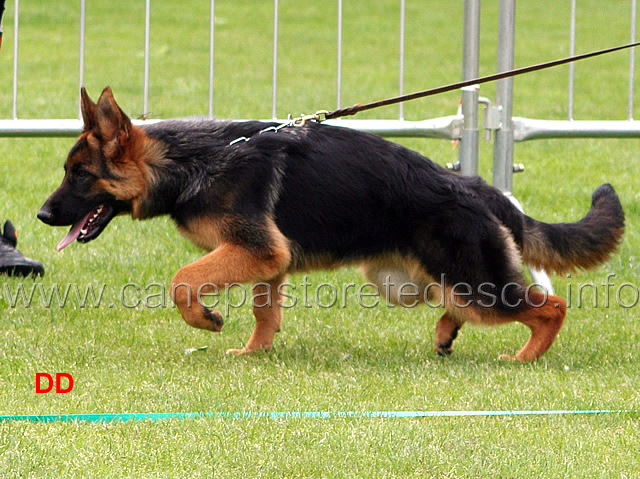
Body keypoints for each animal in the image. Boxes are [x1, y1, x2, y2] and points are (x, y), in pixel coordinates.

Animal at [37, 88, 624, 362]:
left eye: (80, 174)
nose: (41, 216)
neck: (193, 161)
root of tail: (481, 189)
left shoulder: (253, 250)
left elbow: (183, 280)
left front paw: (205, 320)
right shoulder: (266, 260)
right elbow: (265, 312)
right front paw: (254, 354)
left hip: (471, 281)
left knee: (550, 306)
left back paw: (523, 357)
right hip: (406, 282)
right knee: (457, 306)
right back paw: (446, 335)